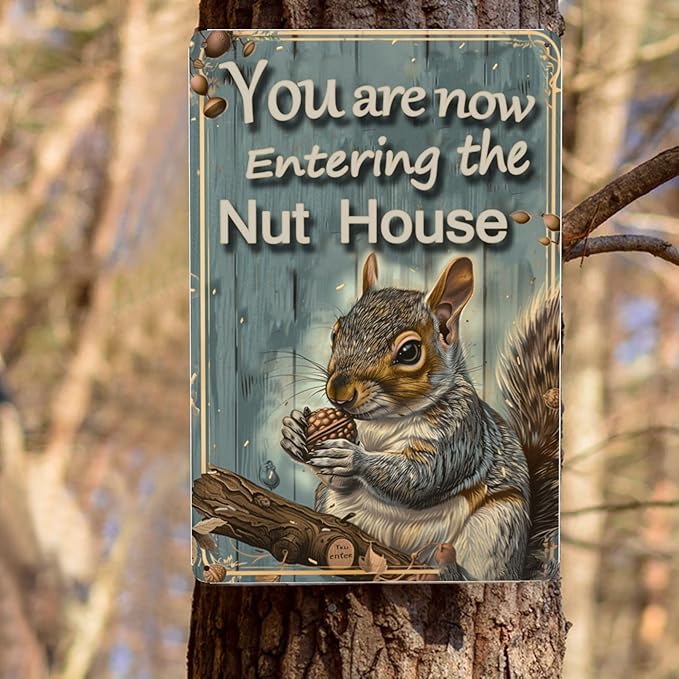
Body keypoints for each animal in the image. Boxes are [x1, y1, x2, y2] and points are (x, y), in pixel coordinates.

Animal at [281, 253, 559, 580]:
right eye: (335, 332)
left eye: (409, 352)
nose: (339, 392)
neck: (387, 419)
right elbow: (338, 480)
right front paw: (293, 431)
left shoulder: (462, 431)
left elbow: (423, 475)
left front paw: (352, 457)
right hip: (330, 503)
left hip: (500, 522)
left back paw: (449, 567)